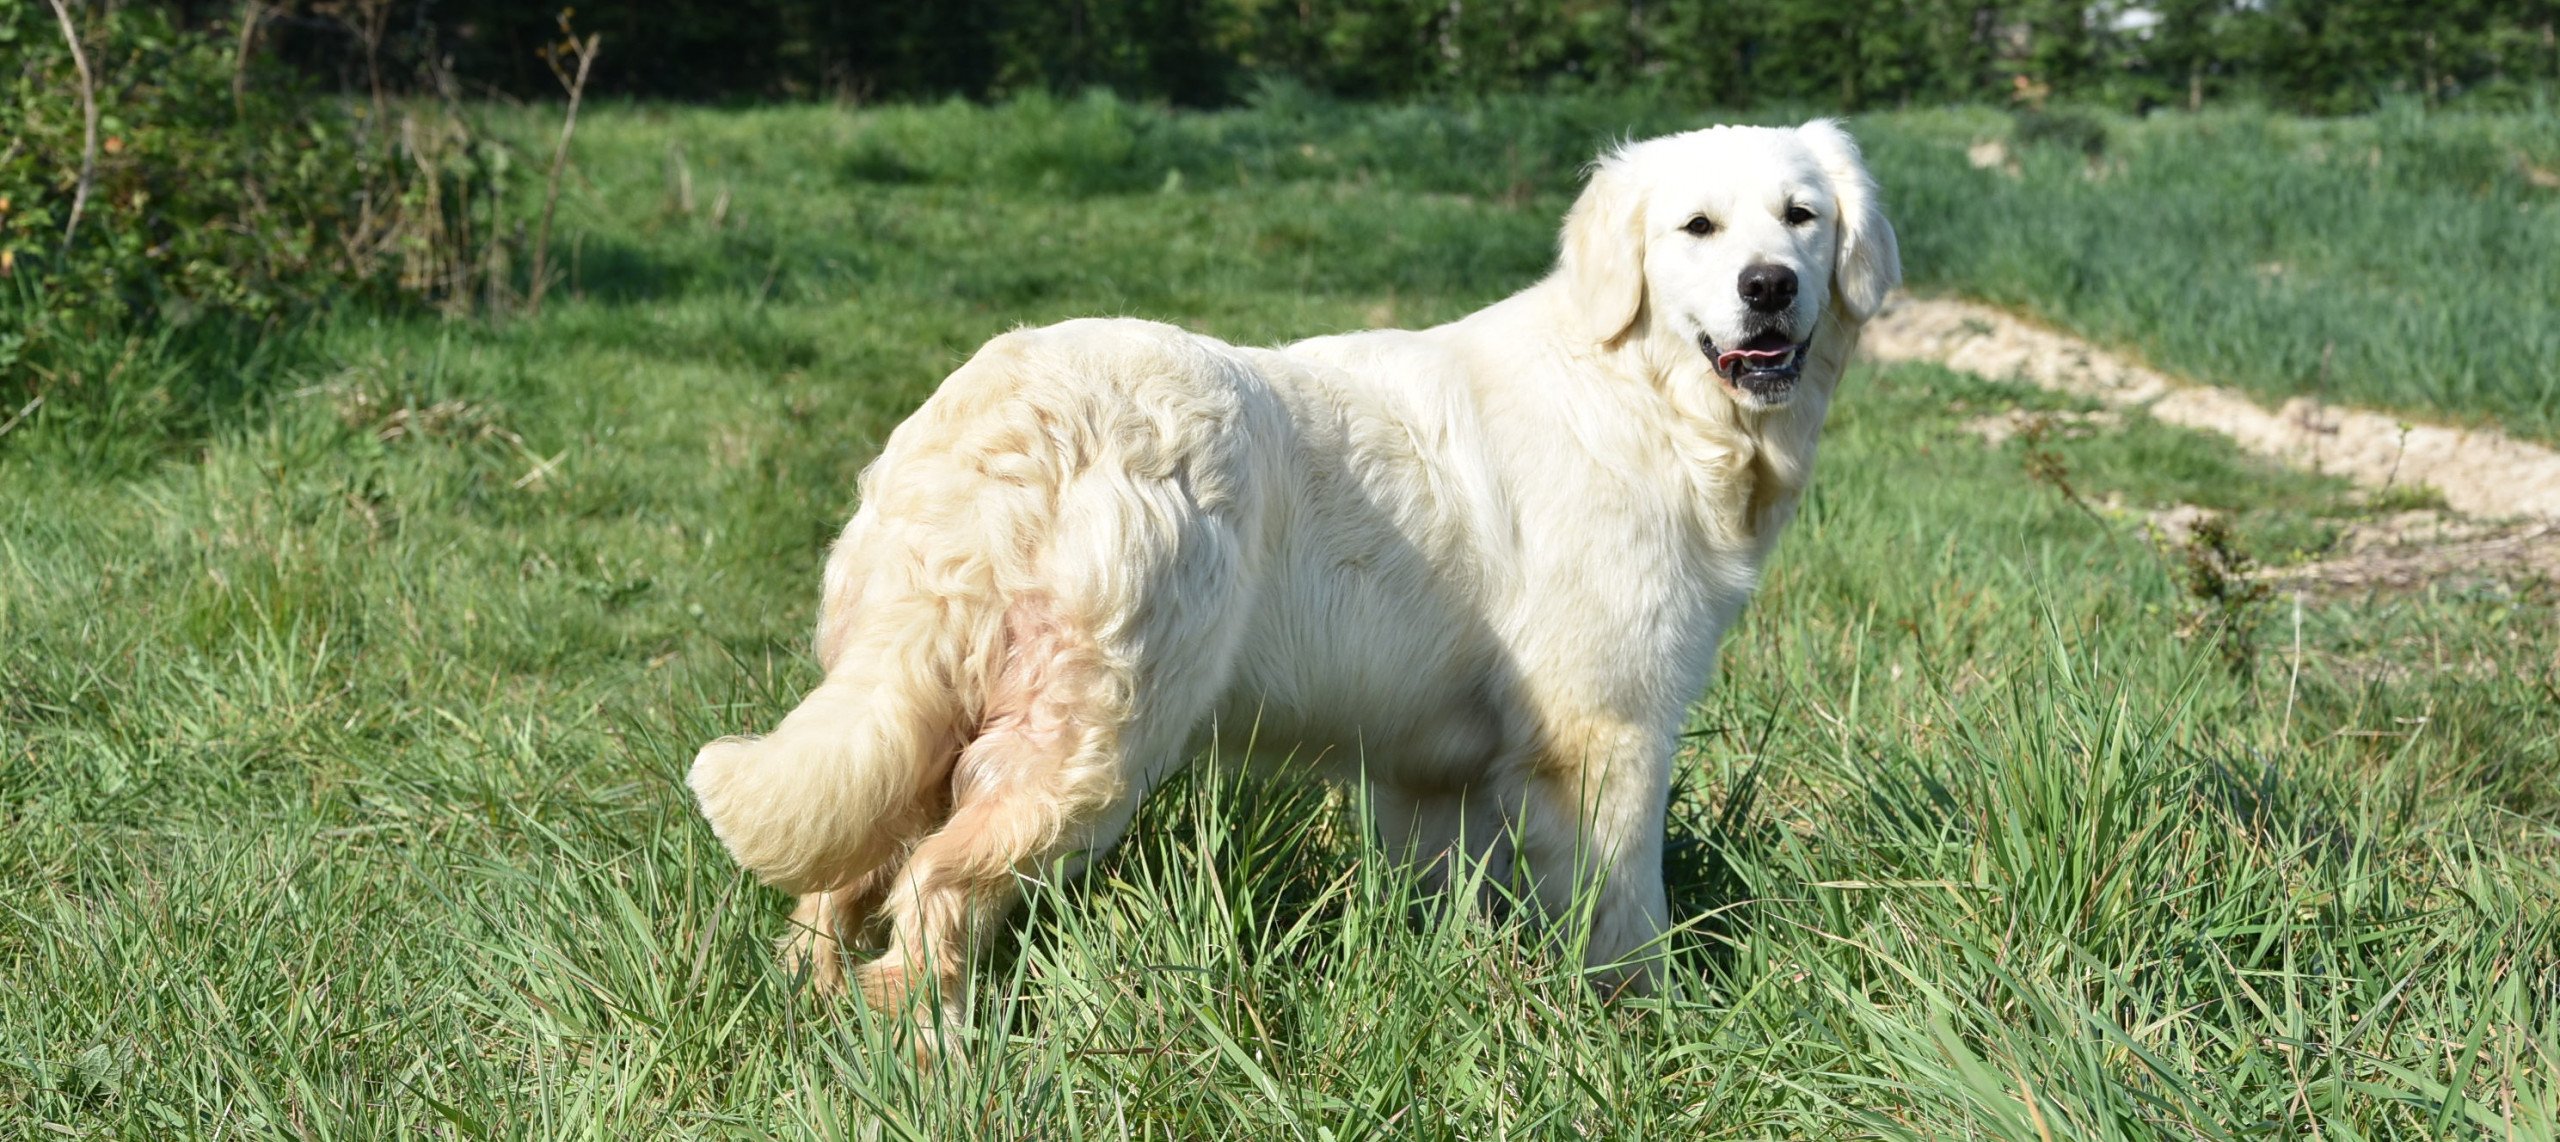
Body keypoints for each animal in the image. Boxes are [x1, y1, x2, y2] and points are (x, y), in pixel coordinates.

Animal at [691, 122, 1894, 1019]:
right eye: (1697, 227)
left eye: (1802, 215)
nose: (1769, 287)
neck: (1644, 396)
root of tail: (1005, 410)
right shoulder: (1611, 731)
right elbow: (1627, 907)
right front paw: (1652, 1020)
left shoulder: (1430, 771)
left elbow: (1452, 892)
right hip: (1095, 742)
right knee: (933, 894)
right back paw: (936, 1052)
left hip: (924, 712)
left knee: (839, 883)